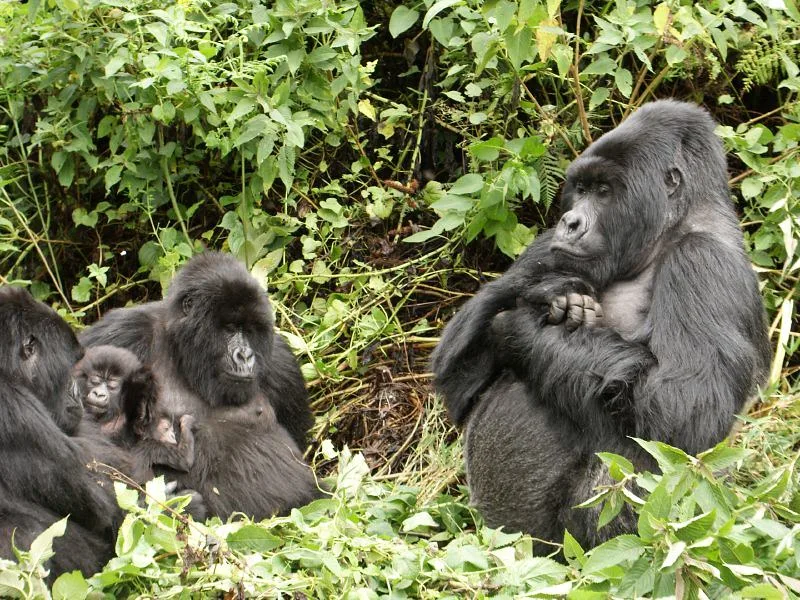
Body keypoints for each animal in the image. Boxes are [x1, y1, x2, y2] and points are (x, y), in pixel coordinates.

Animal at [434, 99, 772, 552]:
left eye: (605, 191)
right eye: (581, 189)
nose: (571, 221)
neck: (673, 225)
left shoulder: (703, 260)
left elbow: (685, 412)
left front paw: (523, 329)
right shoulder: (549, 245)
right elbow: (456, 379)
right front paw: (546, 290)